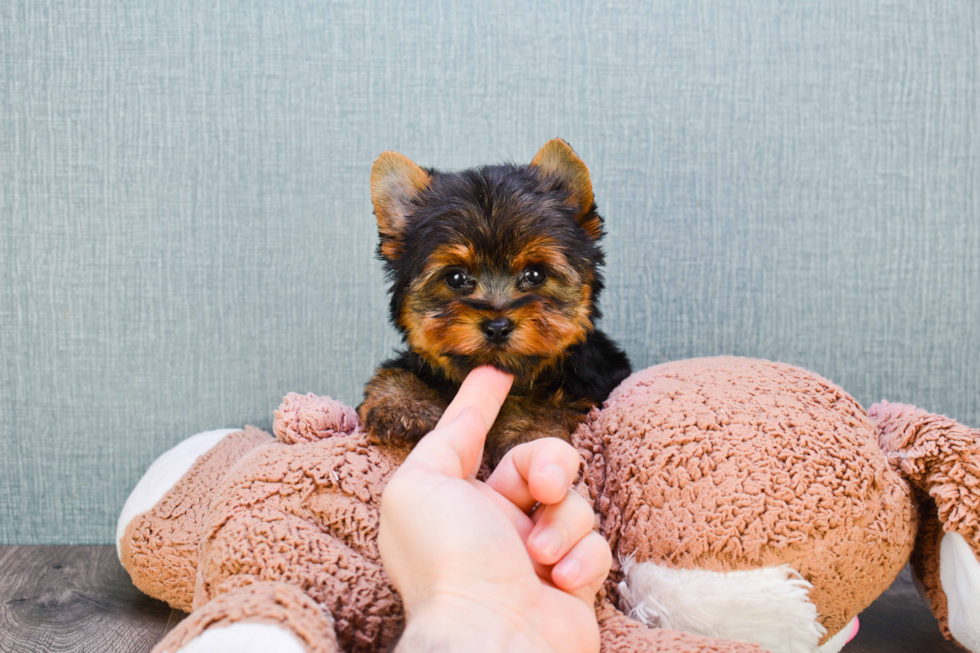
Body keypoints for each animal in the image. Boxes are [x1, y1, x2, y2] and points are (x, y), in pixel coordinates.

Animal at [356, 138, 632, 464]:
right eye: (456, 278)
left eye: (535, 274)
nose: (498, 327)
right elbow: (398, 370)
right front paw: (402, 406)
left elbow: (550, 400)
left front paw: (526, 430)